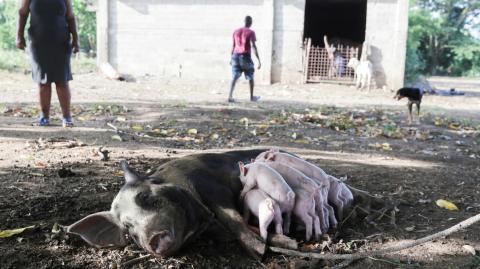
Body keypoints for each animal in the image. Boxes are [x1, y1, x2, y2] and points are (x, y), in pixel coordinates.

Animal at [67, 150, 290, 258]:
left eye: (144, 197)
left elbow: (233, 218)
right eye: (128, 227)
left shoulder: (213, 188)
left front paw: (259, 253)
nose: (152, 239)